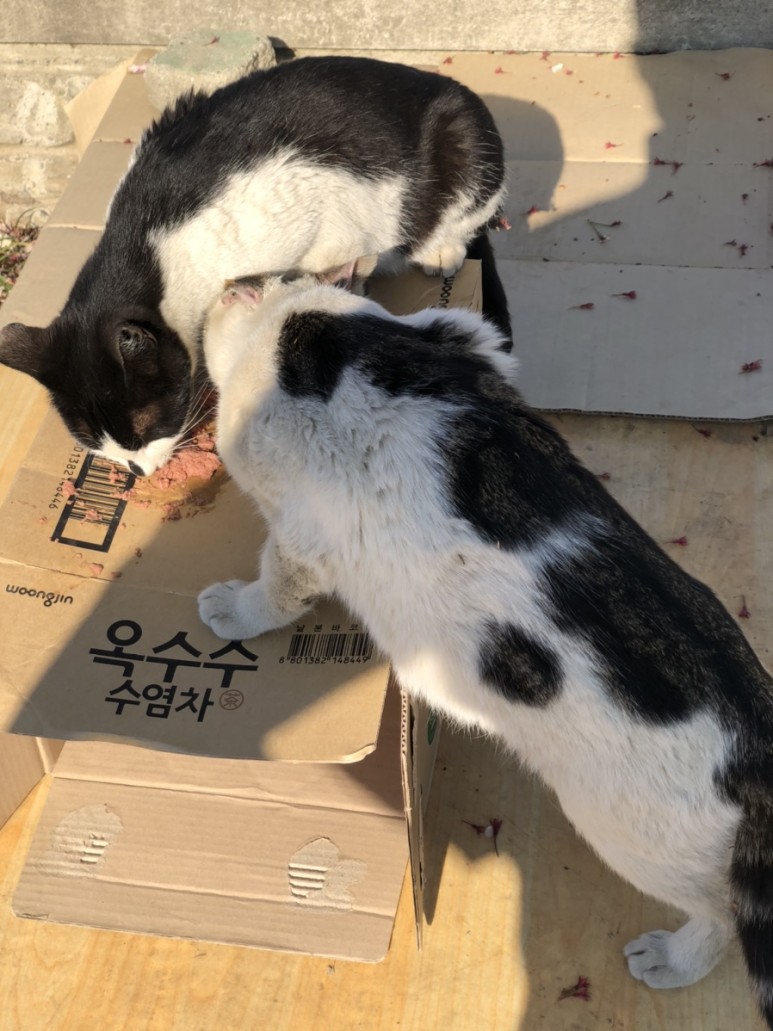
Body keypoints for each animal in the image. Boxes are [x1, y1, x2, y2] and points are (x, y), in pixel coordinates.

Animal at [0, 56, 507, 477]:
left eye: (143, 425)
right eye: (91, 440)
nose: (137, 471)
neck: (146, 240)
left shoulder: (320, 223)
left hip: (467, 145)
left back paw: (439, 250)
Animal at [197, 272, 773, 1029]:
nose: (236, 283)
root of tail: (760, 740)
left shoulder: (299, 537)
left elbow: (273, 587)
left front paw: (230, 609)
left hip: (635, 838)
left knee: (719, 913)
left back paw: (670, 958)